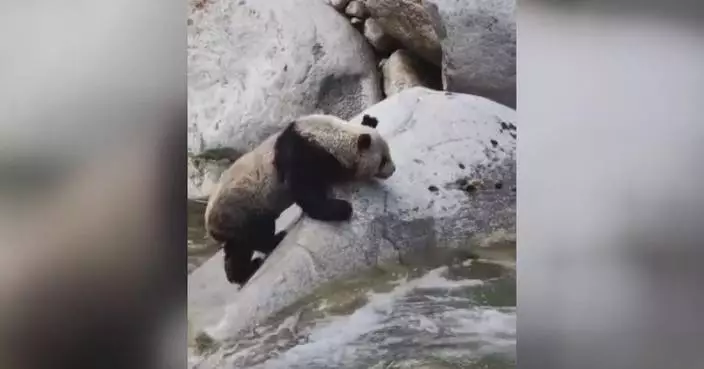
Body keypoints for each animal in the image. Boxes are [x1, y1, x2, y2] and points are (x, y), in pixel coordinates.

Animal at [204, 114, 396, 284]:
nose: (393, 170)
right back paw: (274, 240)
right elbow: (304, 188)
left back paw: (241, 273)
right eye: (383, 160)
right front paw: (341, 208)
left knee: (236, 250)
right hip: (242, 208)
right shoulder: (301, 153)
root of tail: (210, 225)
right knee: (255, 234)